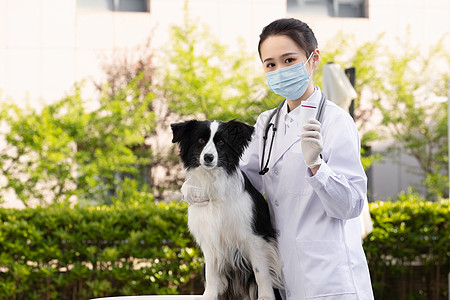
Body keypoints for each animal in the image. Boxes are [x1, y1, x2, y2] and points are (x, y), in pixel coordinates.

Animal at [171, 120, 284, 300]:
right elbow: (211, 273)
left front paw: (266, 296)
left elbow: (261, 271)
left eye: (221, 142)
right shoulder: (210, 240)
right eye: (200, 140)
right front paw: (209, 296)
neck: (213, 182)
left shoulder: (255, 238)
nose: (208, 157)